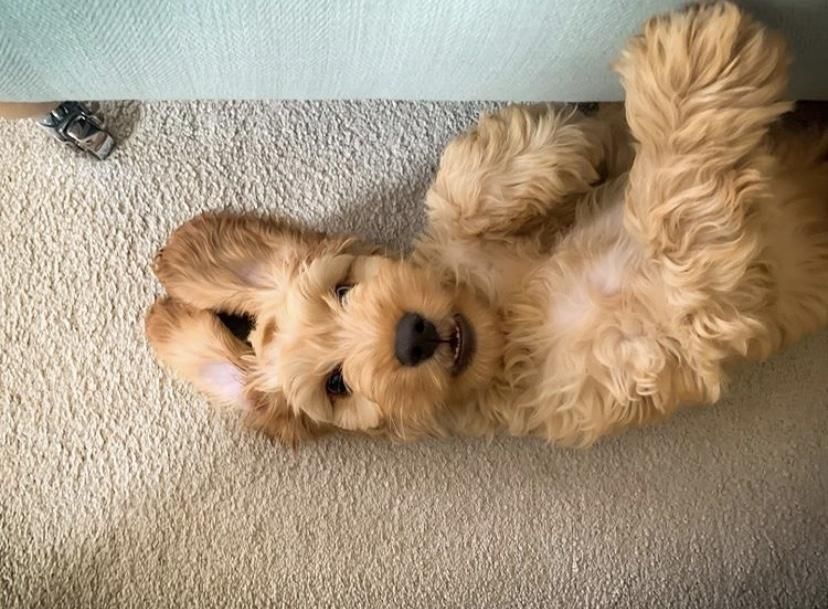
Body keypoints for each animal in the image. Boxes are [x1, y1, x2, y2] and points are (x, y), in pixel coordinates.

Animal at [146, 0, 828, 446]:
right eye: (336, 385)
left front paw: (568, 143)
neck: (504, 310)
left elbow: (458, 189)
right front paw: (695, 63)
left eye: (344, 287)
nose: (413, 337)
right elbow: (675, 209)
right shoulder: (661, 329)